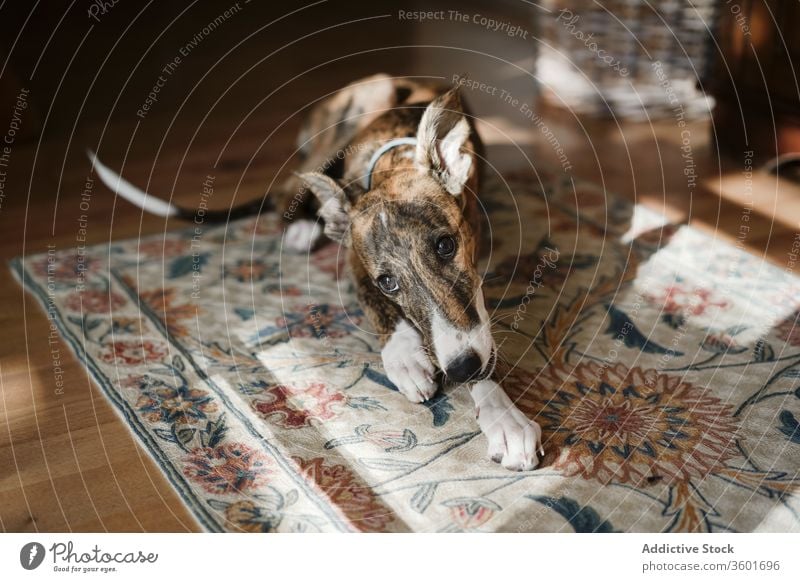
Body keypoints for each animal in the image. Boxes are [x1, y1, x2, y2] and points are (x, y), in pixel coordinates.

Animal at [90, 74, 548, 474]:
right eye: (388, 282)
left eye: (445, 245)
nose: (462, 370)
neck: (393, 159)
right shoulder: (358, 259)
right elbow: (376, 303)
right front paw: (406, 356)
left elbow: (477, 328)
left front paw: (503, 416)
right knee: (286, 199)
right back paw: (304, 227)